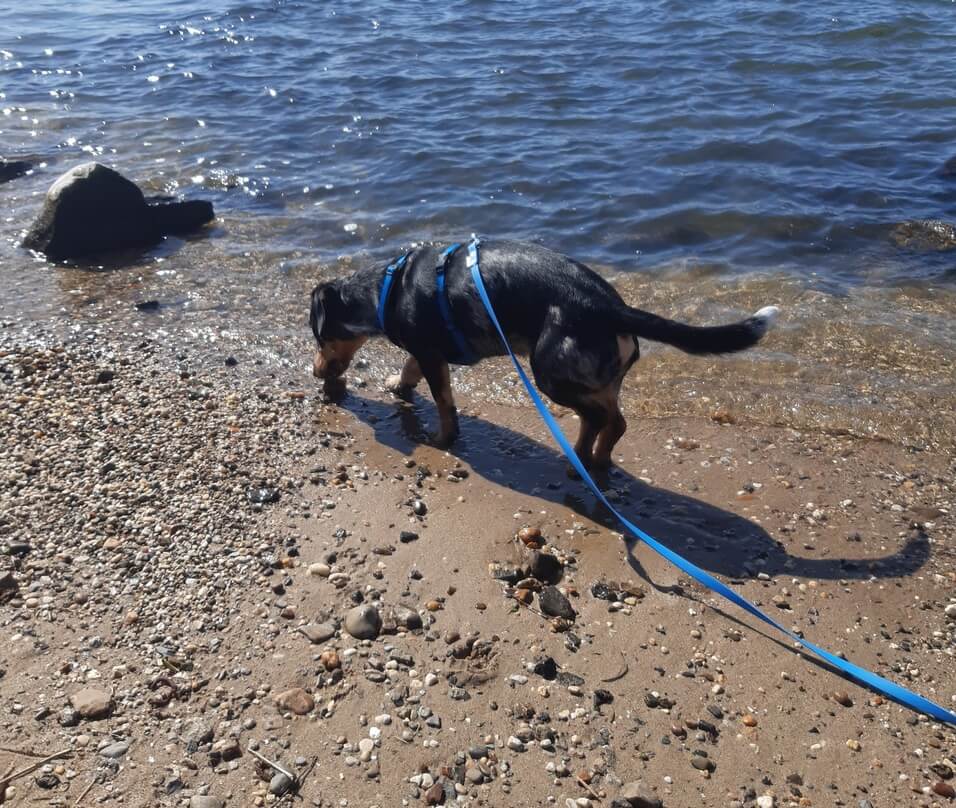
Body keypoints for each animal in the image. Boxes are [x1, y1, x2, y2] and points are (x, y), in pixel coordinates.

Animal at [314, 240, 776, 468]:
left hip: (550, 372)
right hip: (591, 378)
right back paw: (593, 460)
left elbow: (444, 403)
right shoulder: (427, 352)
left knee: (603, 419)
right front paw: (398, 385)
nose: (316, 373)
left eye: (318, 337)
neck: (386, 290)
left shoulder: (431, 354)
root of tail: (606, 306)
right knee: (612, 422)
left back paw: (586, 459)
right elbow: (409, 369)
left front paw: (443, 439)